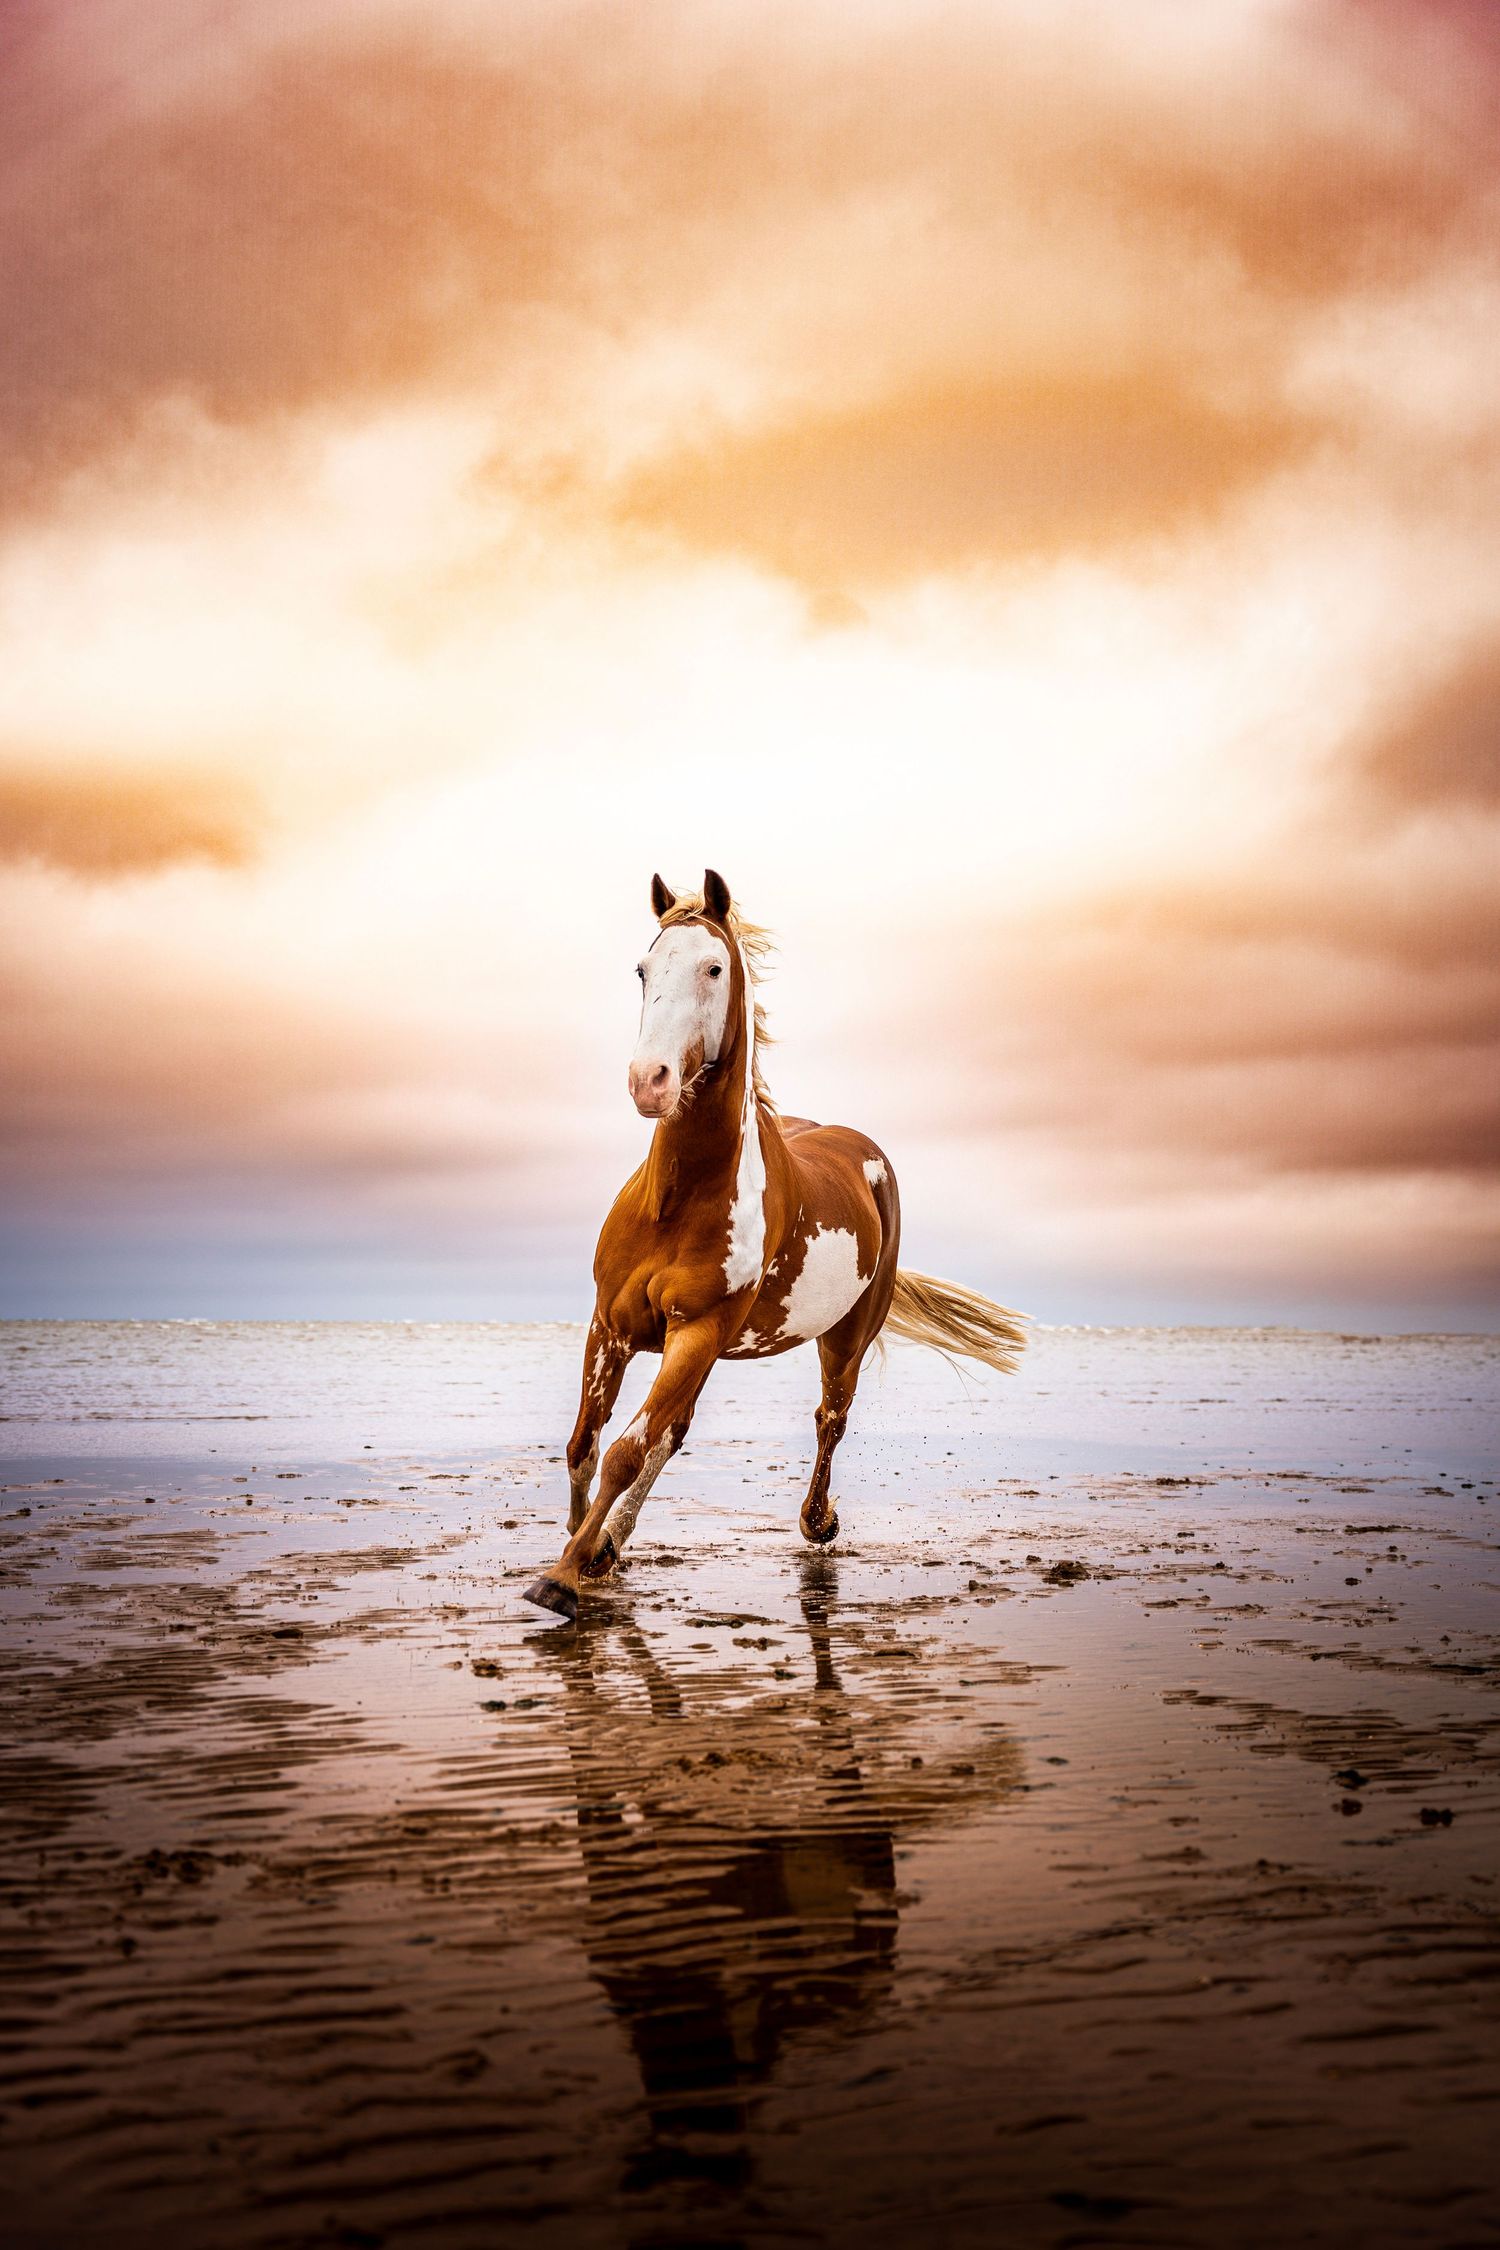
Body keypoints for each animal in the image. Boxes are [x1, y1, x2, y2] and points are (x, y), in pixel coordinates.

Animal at [523, 869, 1025, 1620]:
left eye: (714, 967)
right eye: (643, 969)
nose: (649, 1081)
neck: (678, 1201)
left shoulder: (697, 1330)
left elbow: (625, 1451)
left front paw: (563, 1575)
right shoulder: (610, 1324)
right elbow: (588, 1444)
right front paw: (590, 1551)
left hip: (844, 1335)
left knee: (828, 1420)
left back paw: (818, 1521)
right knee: (672, 1435)